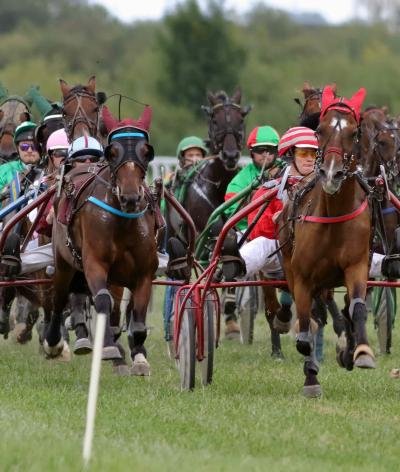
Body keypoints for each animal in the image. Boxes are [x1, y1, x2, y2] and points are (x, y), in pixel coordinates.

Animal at [280, 86, 374, 396]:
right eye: (320, 130)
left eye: (355, 132)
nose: (331, 174)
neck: (334, 214)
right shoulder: (302, 276)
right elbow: (306, 327)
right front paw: (311, 376)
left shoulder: (357, 265)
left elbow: (357, 308)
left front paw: (361, 351)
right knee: (315, 316)